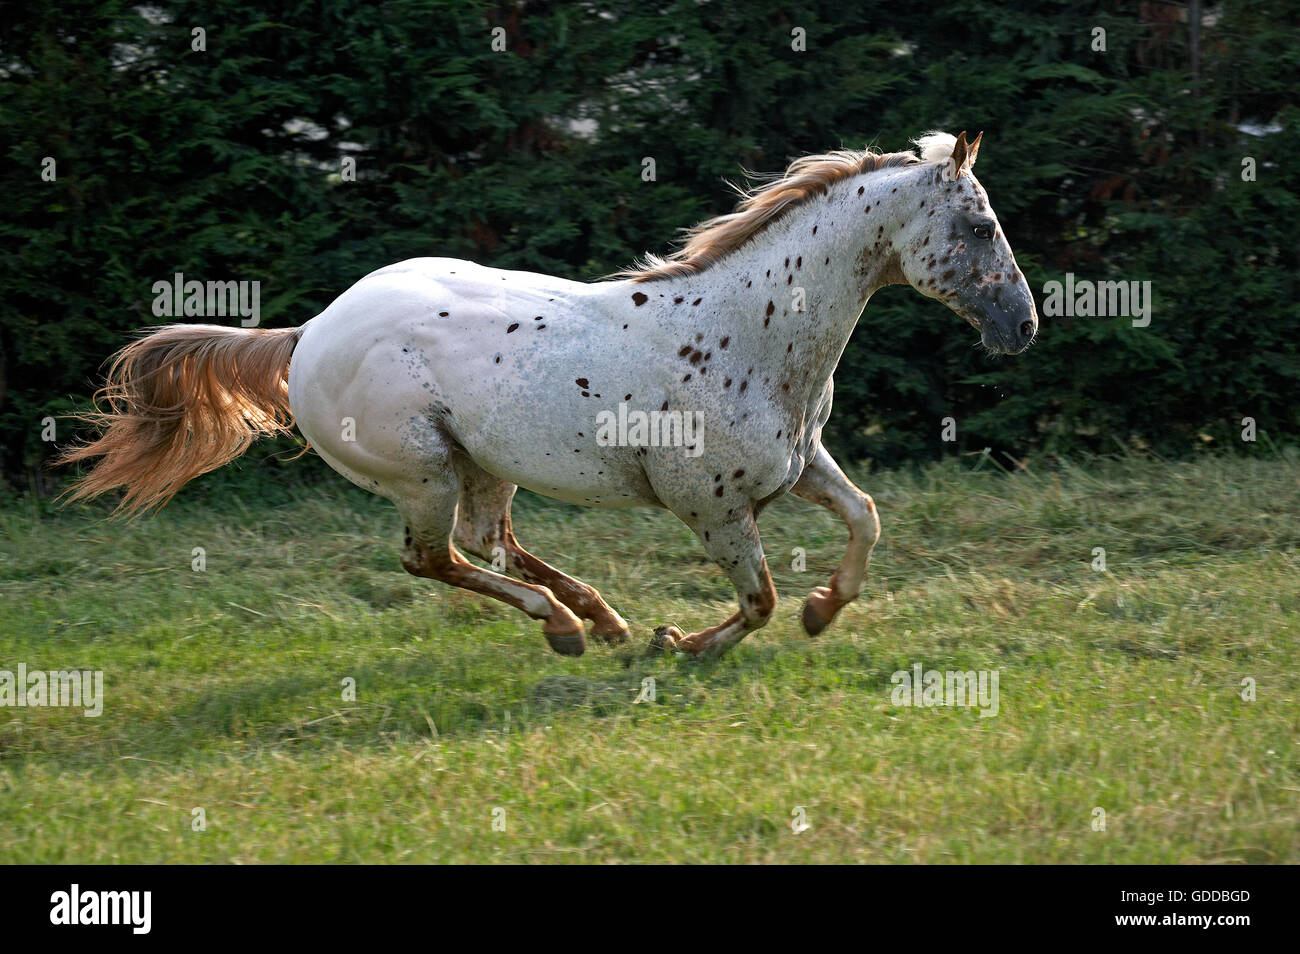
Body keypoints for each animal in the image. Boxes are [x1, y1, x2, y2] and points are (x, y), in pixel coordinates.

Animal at [61, 130, 1034, 660]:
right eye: (980, 225)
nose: (1022, 327)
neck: (746, 335)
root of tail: (308, 334)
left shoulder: (799, 467)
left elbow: (866, 516)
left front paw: (823, 610)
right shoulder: (713, 508)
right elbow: (756, 600)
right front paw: (686, 645)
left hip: (481, 465)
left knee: (487, 542)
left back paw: (598, 618)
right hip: (421, 473)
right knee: (434, 559)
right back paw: (568, 626)